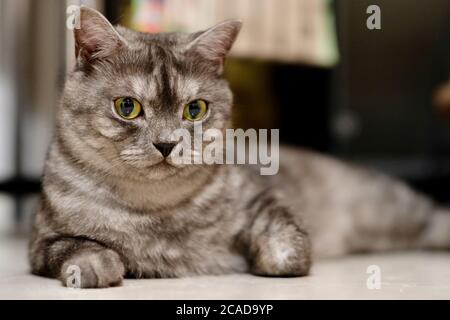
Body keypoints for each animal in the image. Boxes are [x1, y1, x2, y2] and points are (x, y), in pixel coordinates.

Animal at [29, 6, 450, 288]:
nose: (166, 144)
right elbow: (73, 247)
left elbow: (286, 241)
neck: (156, 211)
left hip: (390, 207)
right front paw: (97, 264)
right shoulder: (42, 241)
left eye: (195, 109)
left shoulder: (264, 195)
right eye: (127, 107)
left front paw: (265, 256)